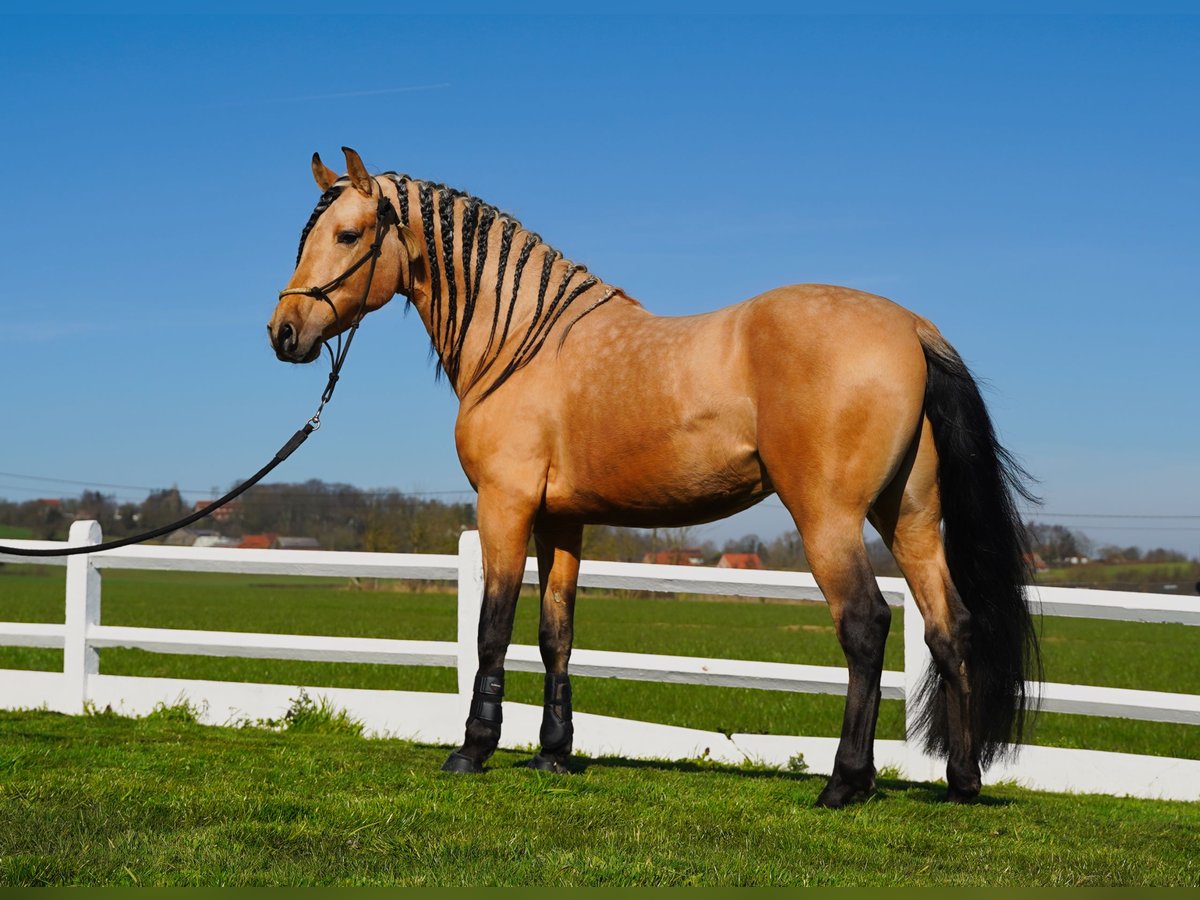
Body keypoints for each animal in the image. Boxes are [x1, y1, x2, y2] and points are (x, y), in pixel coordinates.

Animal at [267, 148, 1036, 811]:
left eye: (347, 233)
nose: (283, 332)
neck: (523, 342)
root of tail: (911, 328)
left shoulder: (505, 506)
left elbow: (493, 627)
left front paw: (472, 751)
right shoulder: (562, 519)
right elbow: (555, 632)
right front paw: (553, 753)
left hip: (829, 518)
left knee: (866, 624)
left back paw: (845, 783)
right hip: (908, 517)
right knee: (949, 627)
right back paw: (961, 781)